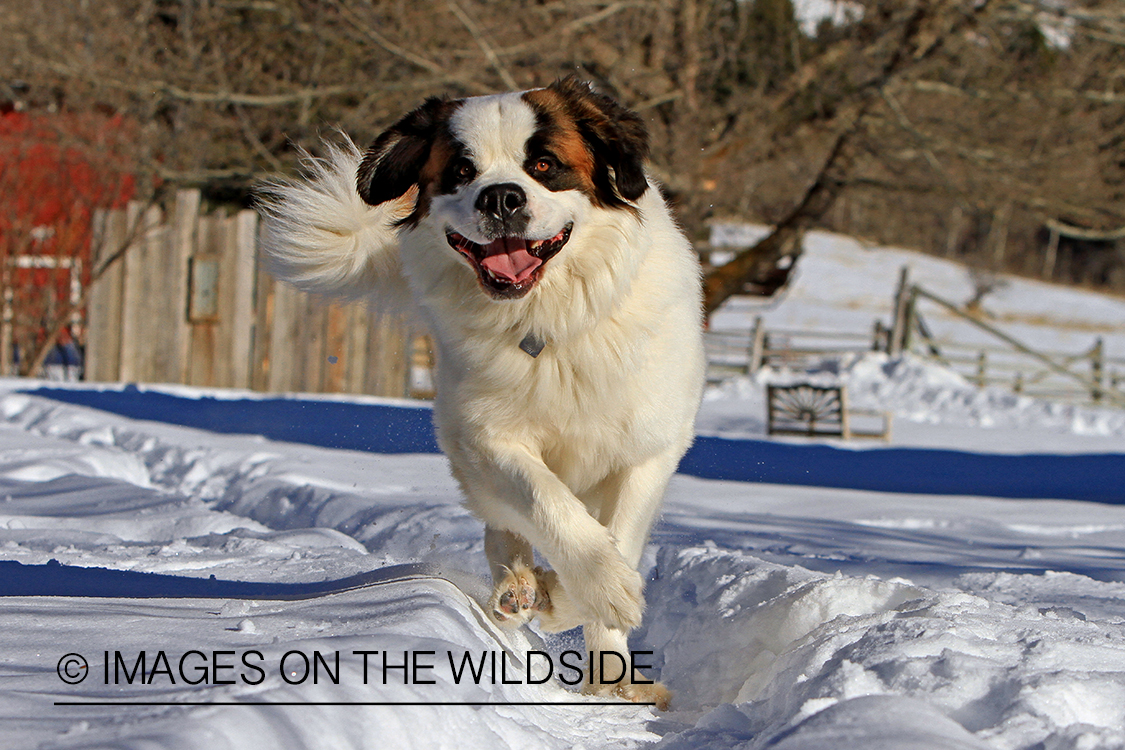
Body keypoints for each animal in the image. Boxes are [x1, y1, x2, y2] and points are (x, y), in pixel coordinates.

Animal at [261, 76, 702, 710]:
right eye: (461, 171)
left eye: (544, 165)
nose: (500, 199)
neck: (545, 322)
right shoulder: (487, 437)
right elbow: (547, 503)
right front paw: (593, 585)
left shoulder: (648, 449)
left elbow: (620, 535)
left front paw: (600, 638)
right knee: (503, 521)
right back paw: (517, 585)